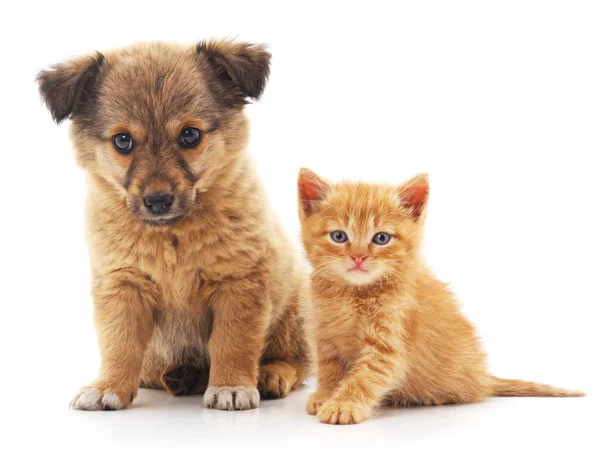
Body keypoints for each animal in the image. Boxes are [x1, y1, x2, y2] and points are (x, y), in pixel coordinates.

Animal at [38, 39, 310, 410]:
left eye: (190, 135)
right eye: (122, 140)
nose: (158, 201)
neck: (170, 236)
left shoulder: (237, 283)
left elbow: (233, 342)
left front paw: (231, 385)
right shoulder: (122, 285)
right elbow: (119, 343)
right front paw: (108, 386)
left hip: (292, 317)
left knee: (295, 361)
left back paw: (269, 375)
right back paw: (181, 376)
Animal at [298, 169, 584, 424]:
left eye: (381, 238)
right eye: (338, 236)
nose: (358, 257)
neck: (354, 292)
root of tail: (482, 376)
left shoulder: (391, 341)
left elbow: (367, 375)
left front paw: (344, 404)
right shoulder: (324, 334)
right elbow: (329, 368)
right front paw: (326, 395)